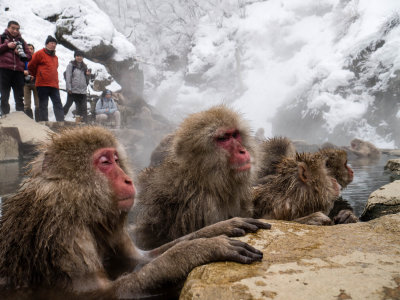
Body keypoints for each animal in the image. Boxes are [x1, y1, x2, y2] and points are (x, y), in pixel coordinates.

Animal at [0, 127, 272, 300]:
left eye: (116, 159)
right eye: (105, 162)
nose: (128, 180)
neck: (75, 200)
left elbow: (142, 257)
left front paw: (219, 228)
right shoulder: (63, 233)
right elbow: (99, 293)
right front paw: (201, 249)